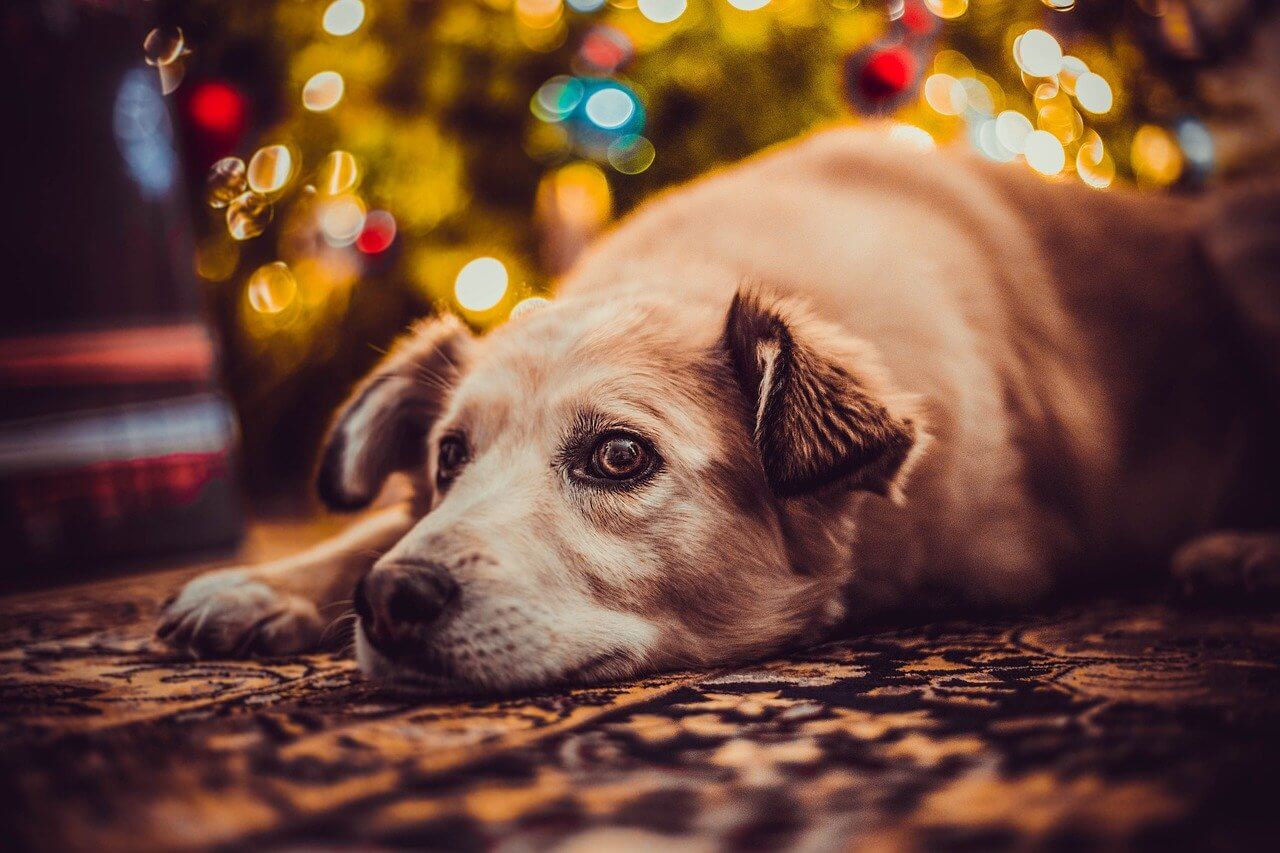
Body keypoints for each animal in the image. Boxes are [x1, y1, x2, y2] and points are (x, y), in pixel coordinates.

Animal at [157, 122, 1280, 686]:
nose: (390, 603)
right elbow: (378, 529)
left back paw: (1240, 552)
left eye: (618, 457)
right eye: (446, 458)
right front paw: (267, 587)